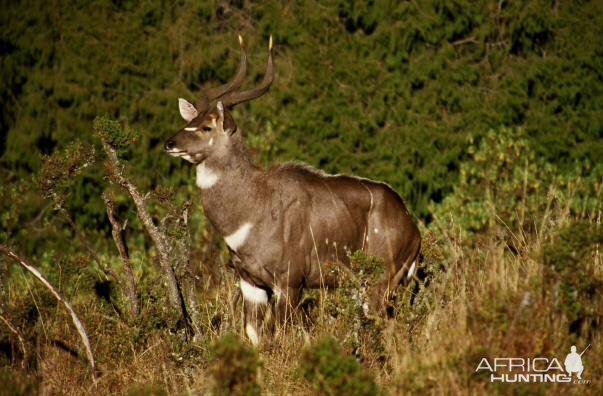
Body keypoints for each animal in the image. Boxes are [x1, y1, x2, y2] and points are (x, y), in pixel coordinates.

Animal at [163, 38, 422, 346]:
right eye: (190, 121)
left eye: (206, 127)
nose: (169, 143)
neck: (253, 207)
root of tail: (413, 228)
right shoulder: (251, 283)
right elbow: (254, 335)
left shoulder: (289, 282)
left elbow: (285, 335)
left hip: (380, 281)